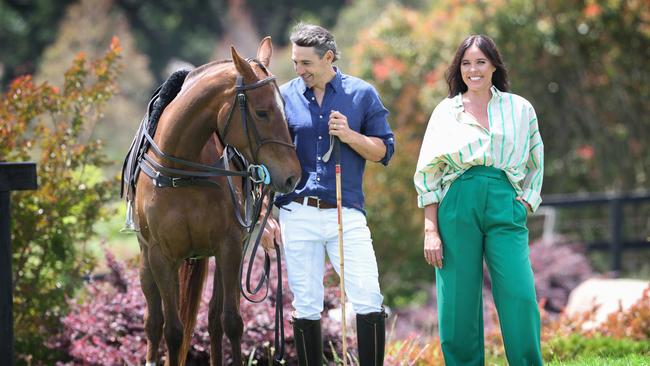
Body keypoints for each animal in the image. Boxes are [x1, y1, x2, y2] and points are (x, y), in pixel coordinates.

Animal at [123, 38, 300, 366]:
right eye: (262, 112)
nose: (292, 175)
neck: (182, 172)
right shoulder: (161, 256)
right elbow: (172, 330)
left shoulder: (229, 247)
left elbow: (229, 321)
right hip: (146, 261)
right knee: (153, 322)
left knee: (215, 320)